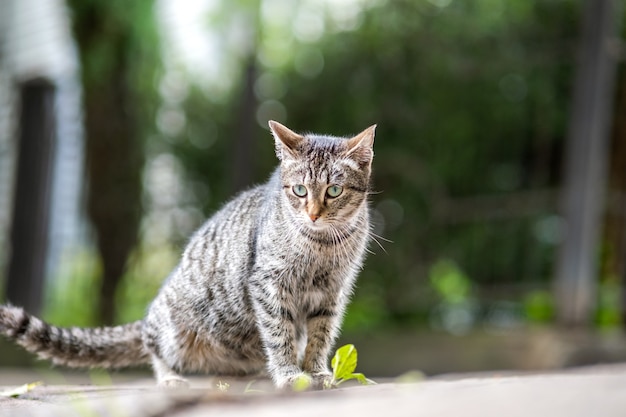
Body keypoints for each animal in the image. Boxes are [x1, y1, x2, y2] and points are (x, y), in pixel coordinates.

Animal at [0, 119, 376, 386]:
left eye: (334, 190)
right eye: (299, 190)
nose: (313, 214)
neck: (321, 246)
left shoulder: (332, 293)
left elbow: (320, 335)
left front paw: (315, 370)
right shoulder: (269, 284)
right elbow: (279, 333)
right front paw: (287, 373)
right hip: (174, 331)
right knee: (154, 349)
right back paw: (170, 378)